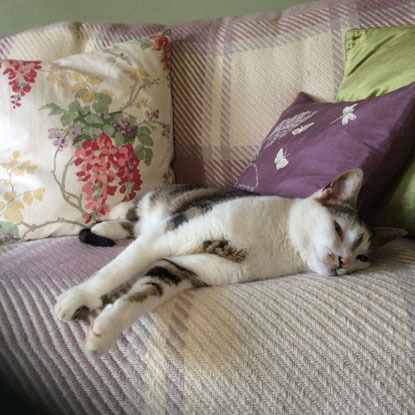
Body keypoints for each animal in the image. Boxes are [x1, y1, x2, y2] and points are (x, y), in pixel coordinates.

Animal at [54, 169, 406, 358]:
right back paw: (106, 224)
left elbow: (145, 292)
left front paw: (103, 334)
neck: (279, 244)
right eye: (337, 228)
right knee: (129, 213)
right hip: (161, 205)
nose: (343, 262)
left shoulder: (187, 268)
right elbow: (119, 268)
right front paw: (78, 298)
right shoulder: (174, 230)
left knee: (132, 227)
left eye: (363, 257)